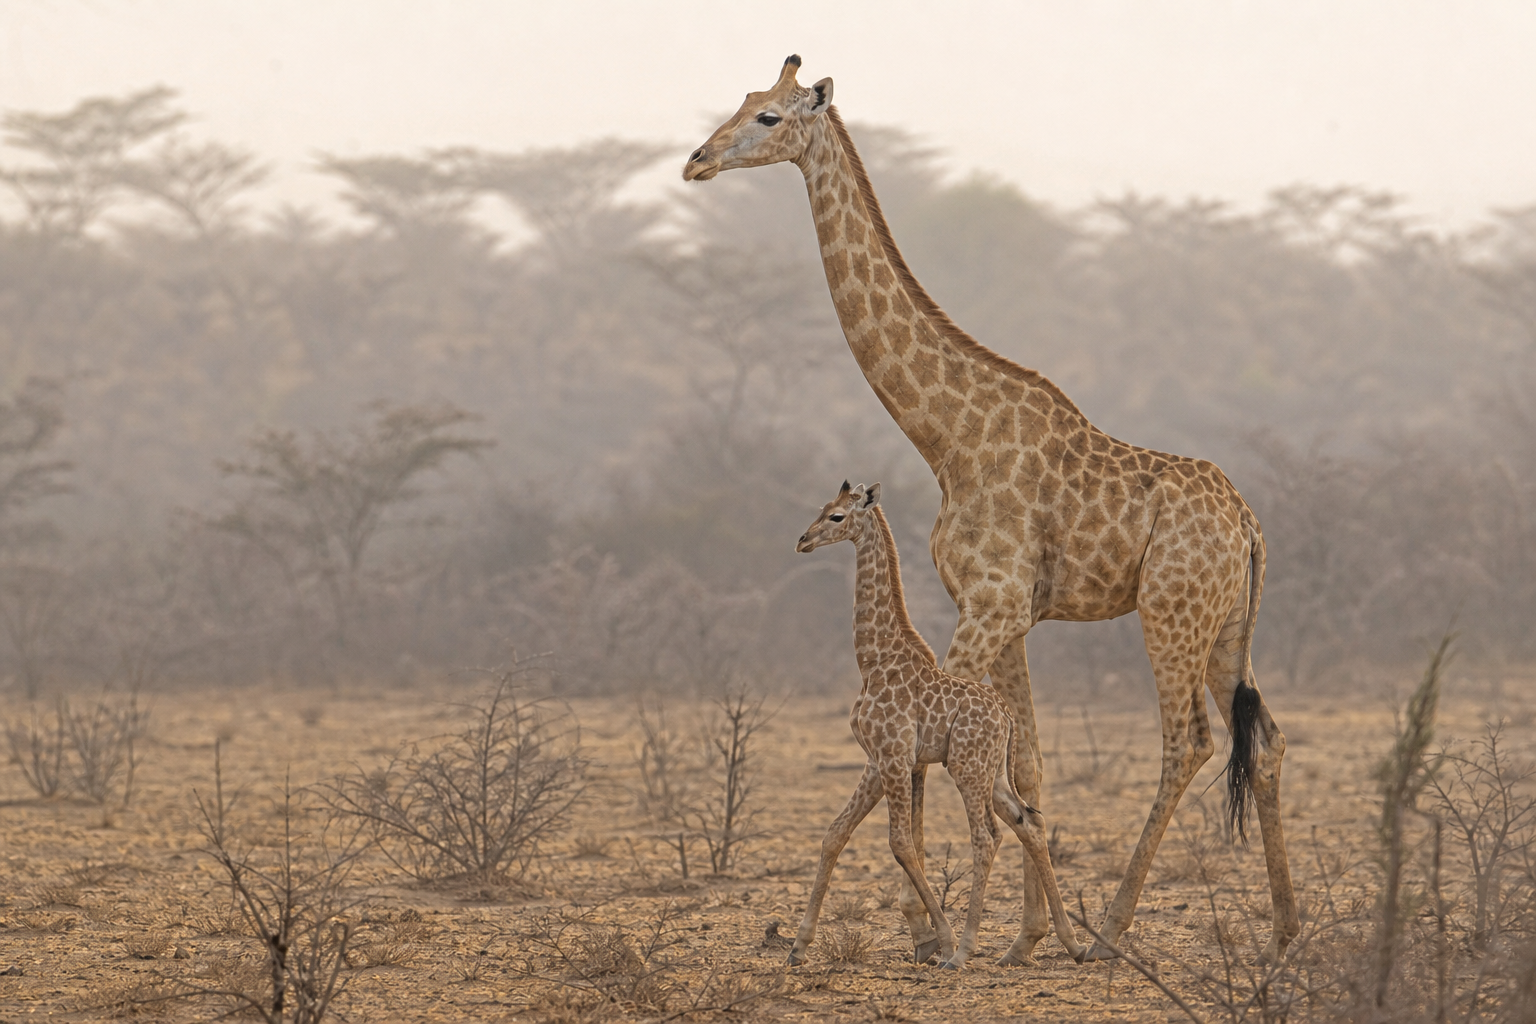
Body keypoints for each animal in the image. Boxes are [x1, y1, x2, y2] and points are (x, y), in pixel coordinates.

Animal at [789, 480, 1084, 970]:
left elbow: (900, 843)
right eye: (822, 508)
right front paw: (798, 945)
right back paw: (1072, 942)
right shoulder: (884, 759)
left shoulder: (893, 754)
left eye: (836, 517)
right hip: (991, 774)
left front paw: (939, 940)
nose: (802, 541)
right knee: (1028, 826)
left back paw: (963, 950)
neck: (873, 659)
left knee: (986, 838)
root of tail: (1006, 717)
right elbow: (836, 833)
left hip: (966, 769)